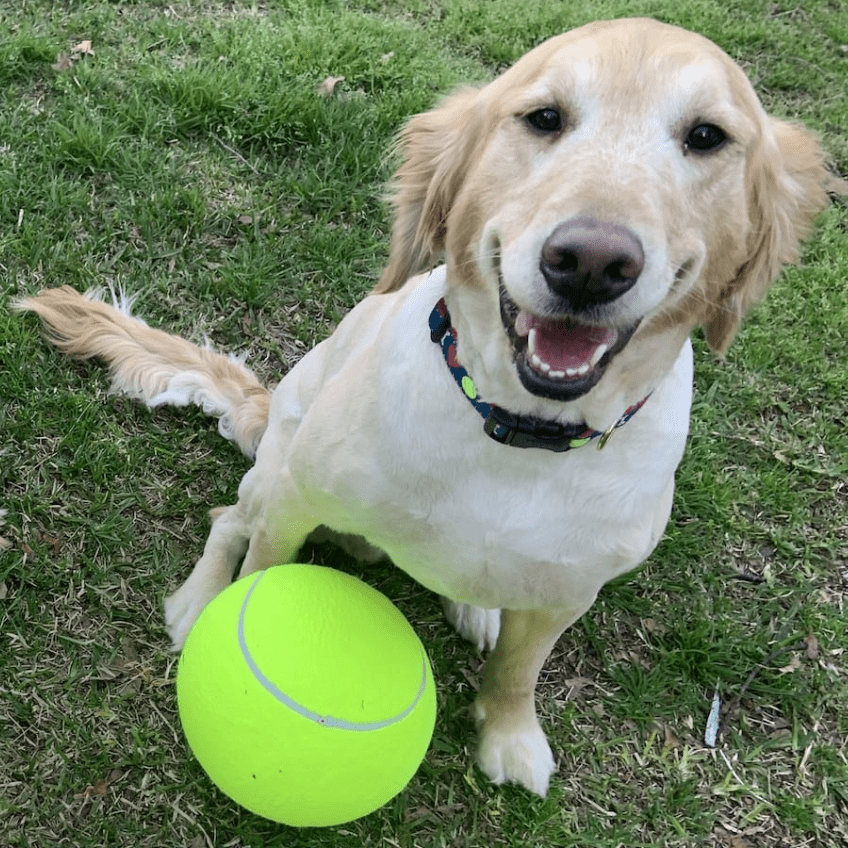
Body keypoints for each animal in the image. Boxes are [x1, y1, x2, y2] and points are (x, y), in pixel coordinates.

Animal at [18, 21, 836, 800]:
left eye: (707, 136)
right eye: (544, 118)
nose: (591, 262)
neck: (516, 432)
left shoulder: (570, 591)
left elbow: (520, 671)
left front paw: (510, 737)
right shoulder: (295, 501)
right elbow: (261, 567)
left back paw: (475, 608)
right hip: (276, 463)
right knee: (227, 522)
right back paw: (196, 605)